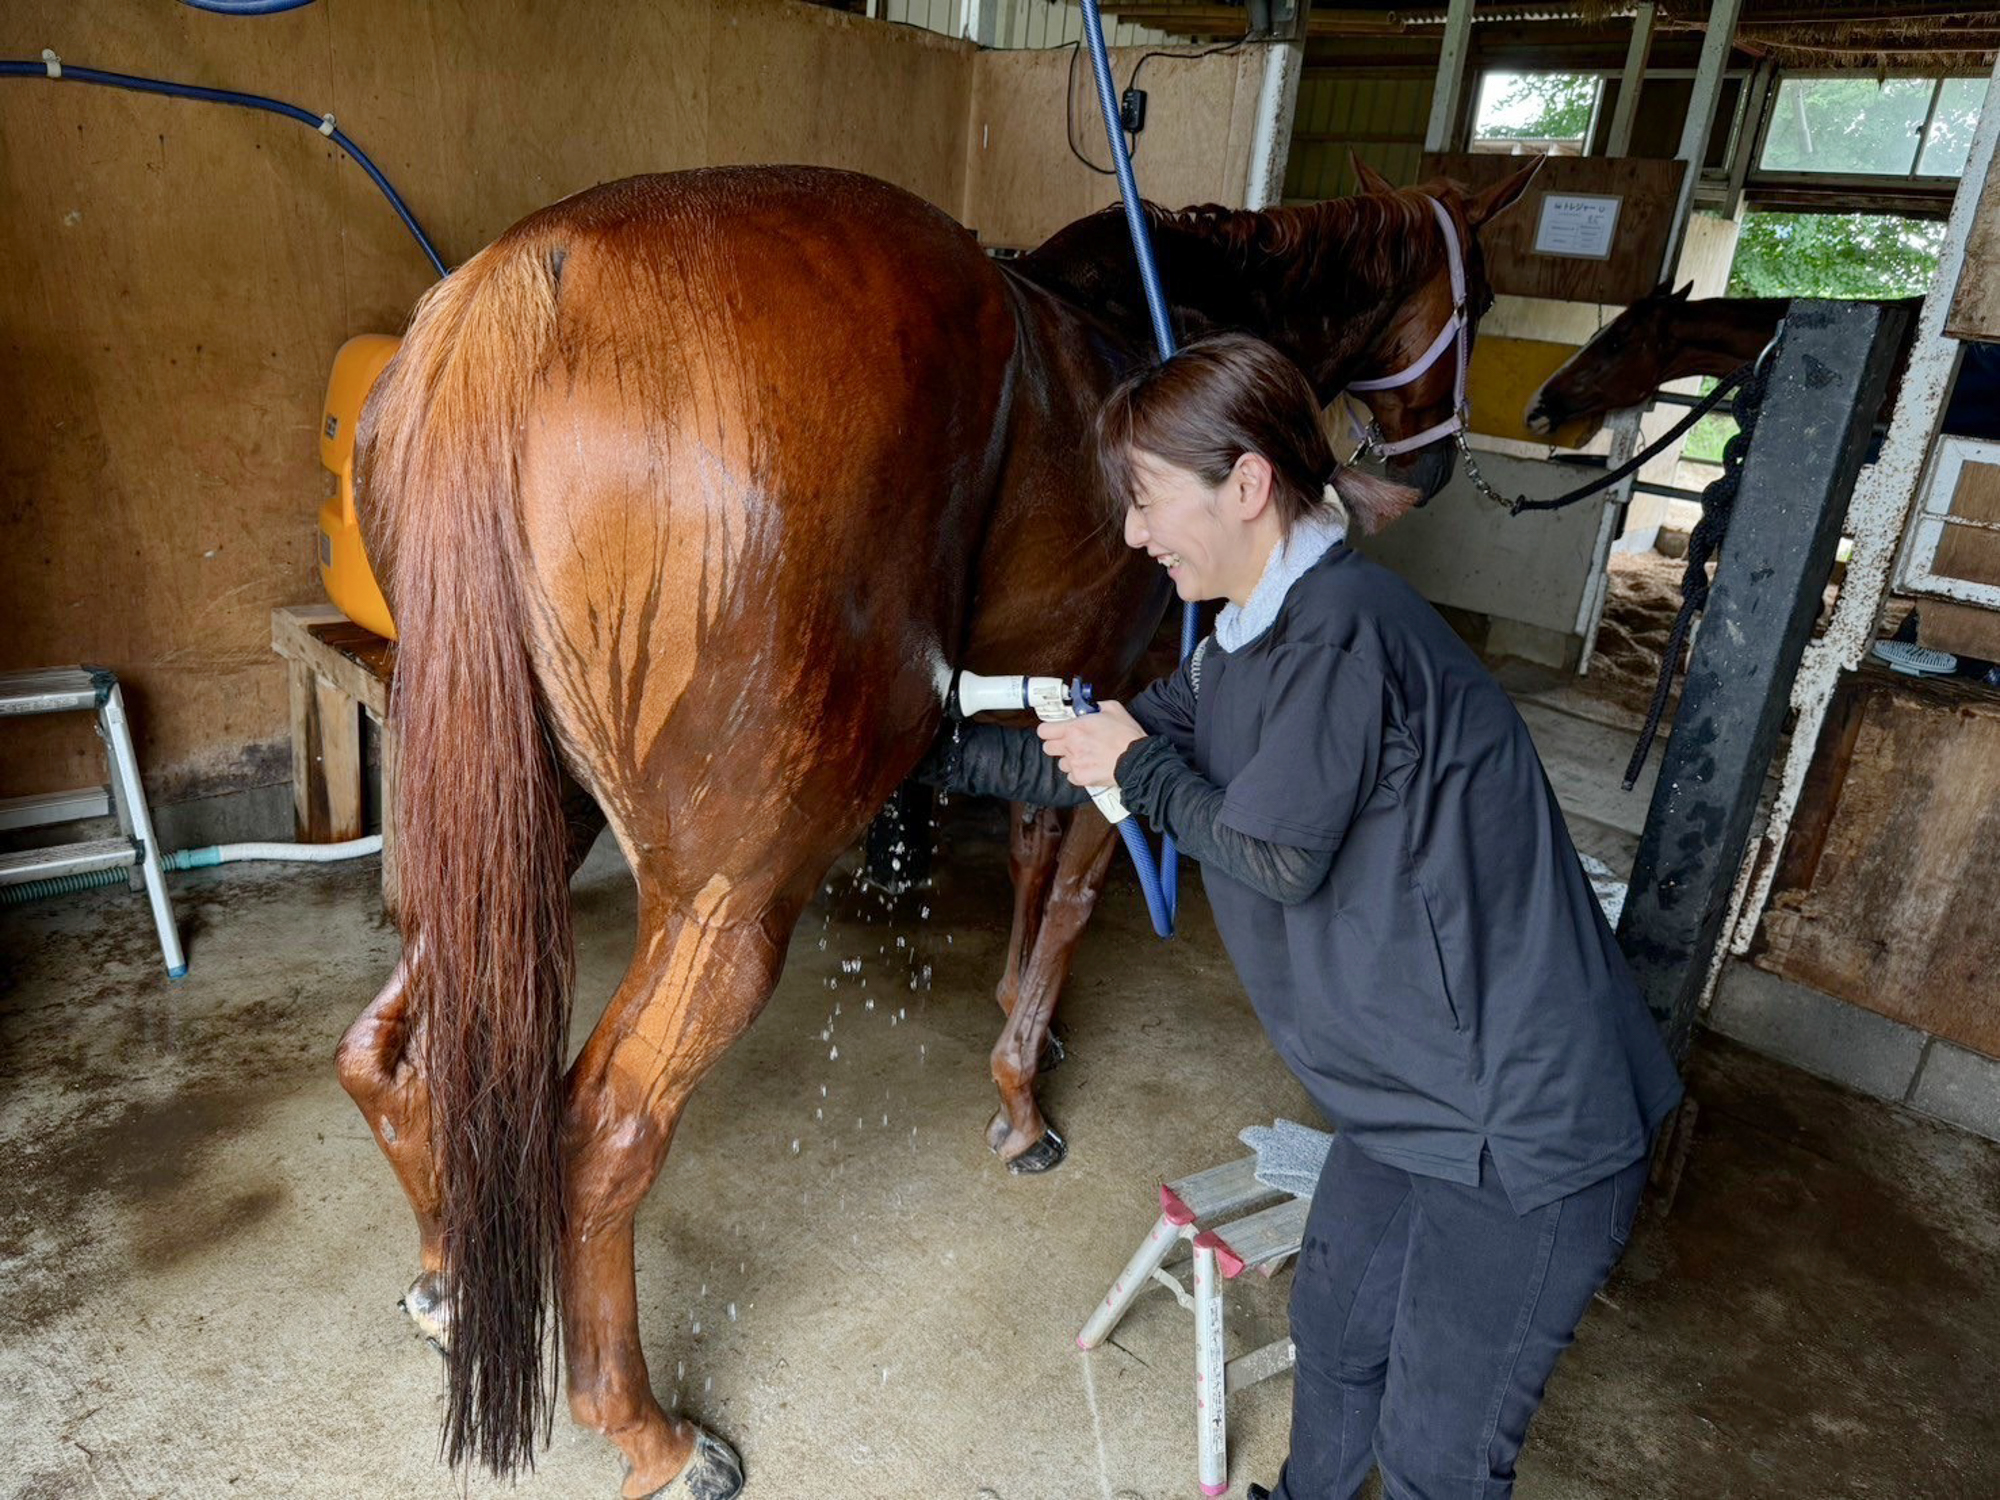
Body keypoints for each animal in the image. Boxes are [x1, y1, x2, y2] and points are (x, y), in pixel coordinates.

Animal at [336, 159, 1536, 1496]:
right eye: (1482, 294)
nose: (1431, 470)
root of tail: (516, 297)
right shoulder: (1120, 718)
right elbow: (1068, 901)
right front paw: (1022, 1101)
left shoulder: (1044, 706)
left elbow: (1026, 864)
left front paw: (1026, 1032)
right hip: (728, 895)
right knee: (599, 1131)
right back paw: (649, 1431)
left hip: (509, 837)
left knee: (393, 1054)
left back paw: (449, 1280)